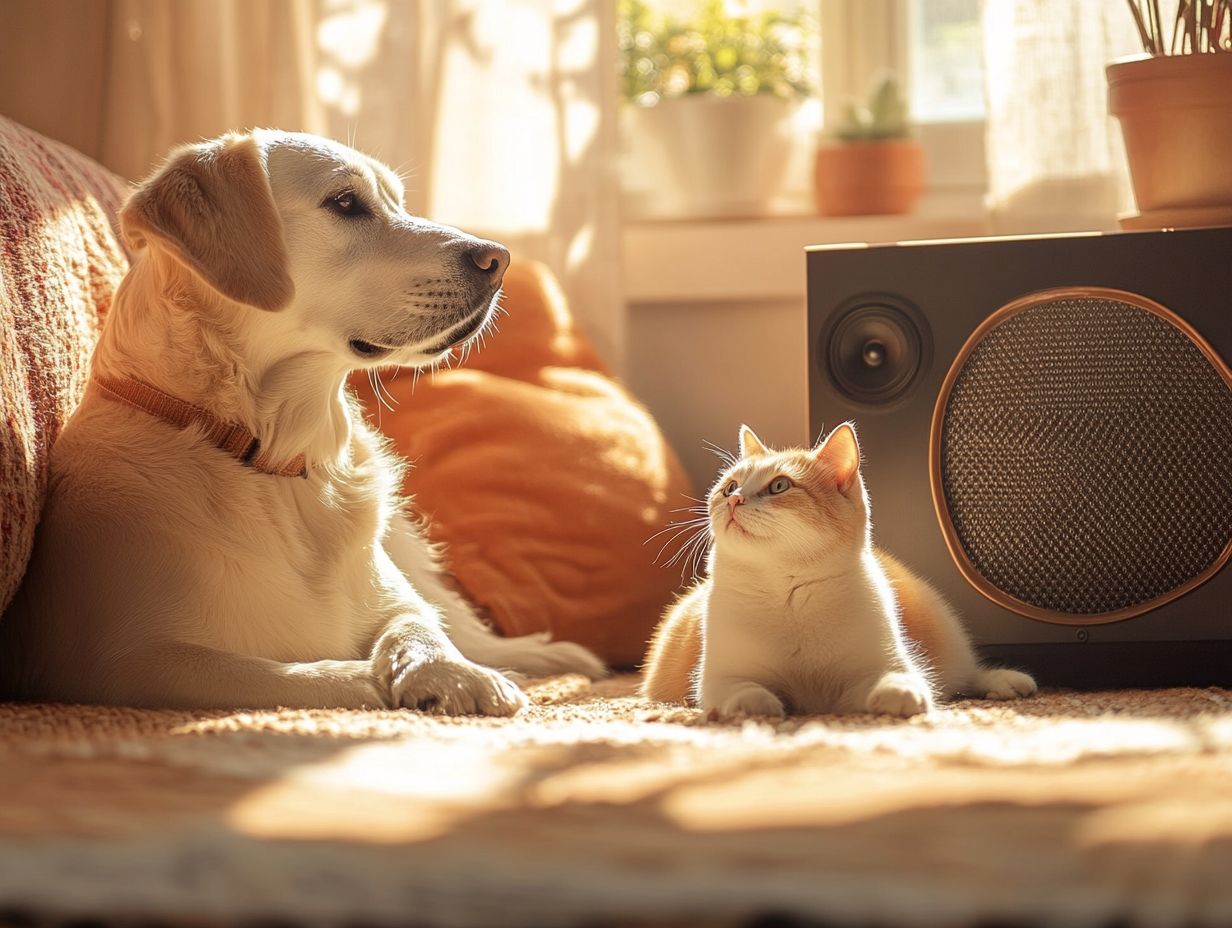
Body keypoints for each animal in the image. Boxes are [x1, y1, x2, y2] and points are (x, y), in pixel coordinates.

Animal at [0, 128, 606, 709]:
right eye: (345, 202)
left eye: (398, 201)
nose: (498, 259)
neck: (274, 455)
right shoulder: (124, 663)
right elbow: (281, 673)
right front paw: (367, 679)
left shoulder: (392, 593)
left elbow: (418, 623)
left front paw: (453, 672)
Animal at [640, 421, 1034, 714]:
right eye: (730, 486)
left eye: (779, 485)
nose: (734, 500)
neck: (787, 592)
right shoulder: (719, 677)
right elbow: (743, 690)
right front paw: (756, 704)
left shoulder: (870, 672)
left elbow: (896, 679)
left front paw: (900, 695)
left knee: (965, 674)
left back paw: (1006, 682)